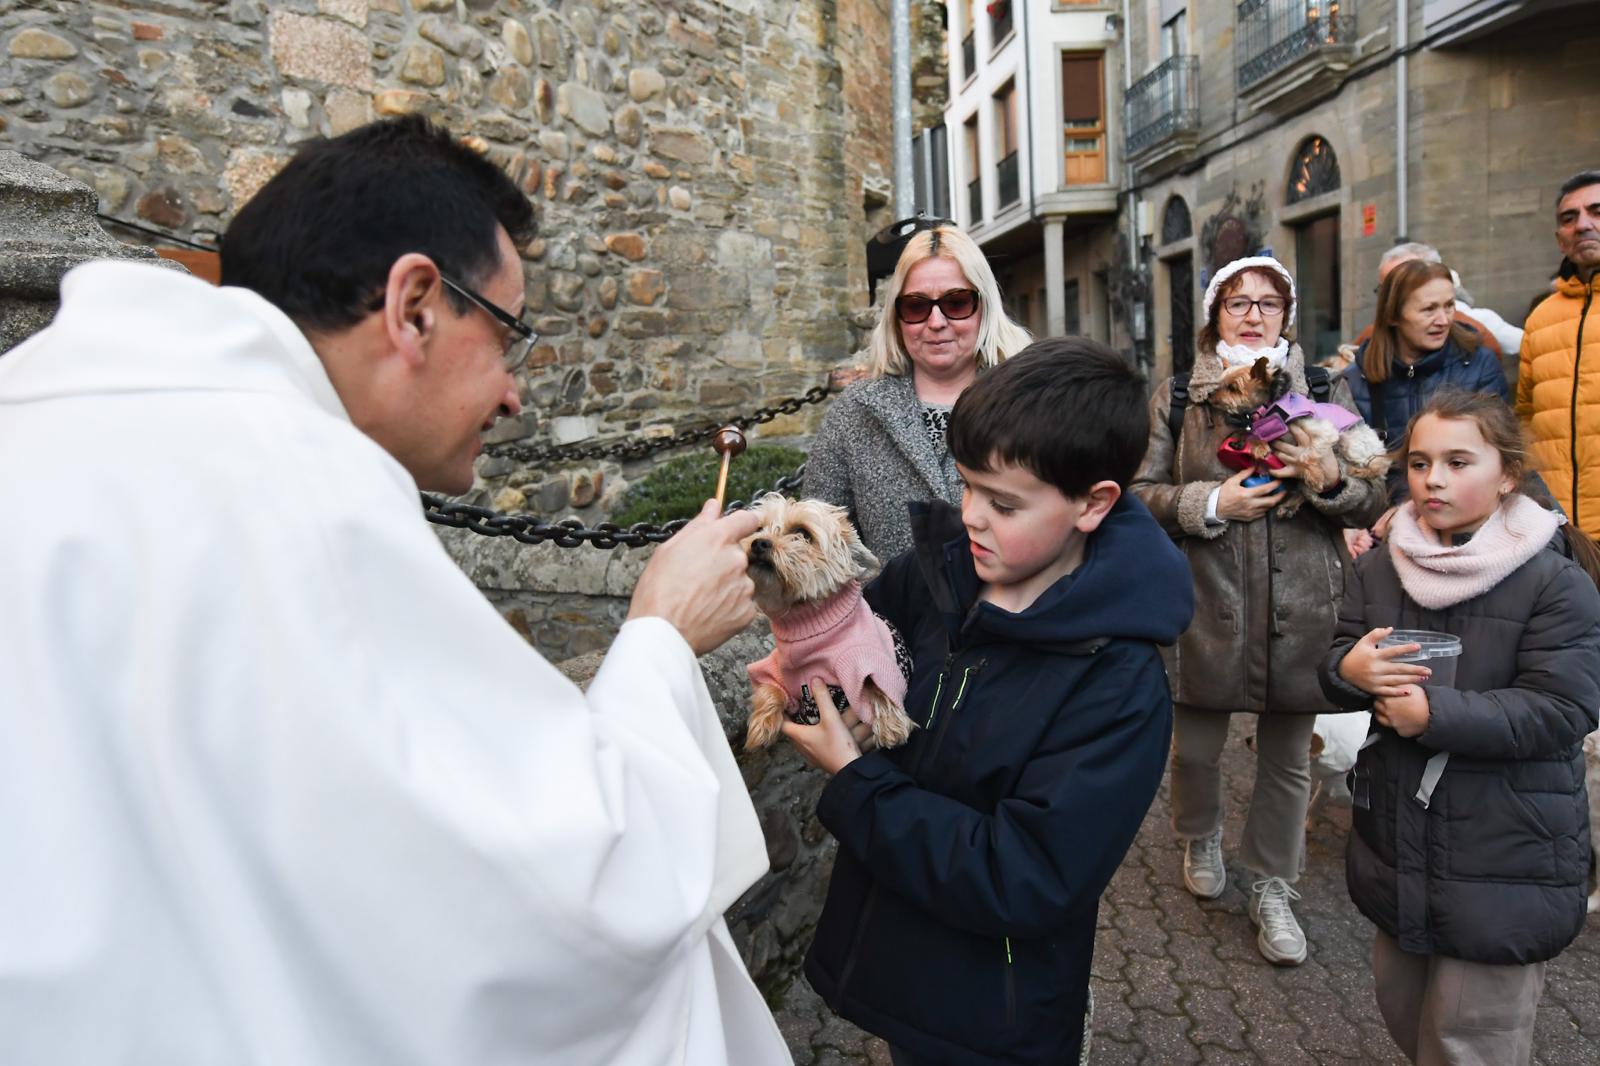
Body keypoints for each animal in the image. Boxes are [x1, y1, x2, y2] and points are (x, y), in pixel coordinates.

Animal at [739, 492, 908, 745]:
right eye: (758, 528)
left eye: (802, 533)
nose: (759, 542)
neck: (809, 626)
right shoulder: (773, 668)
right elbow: (770, 688)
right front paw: (761, 725)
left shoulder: (868, 655)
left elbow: (877, 683)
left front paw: (891, 724)